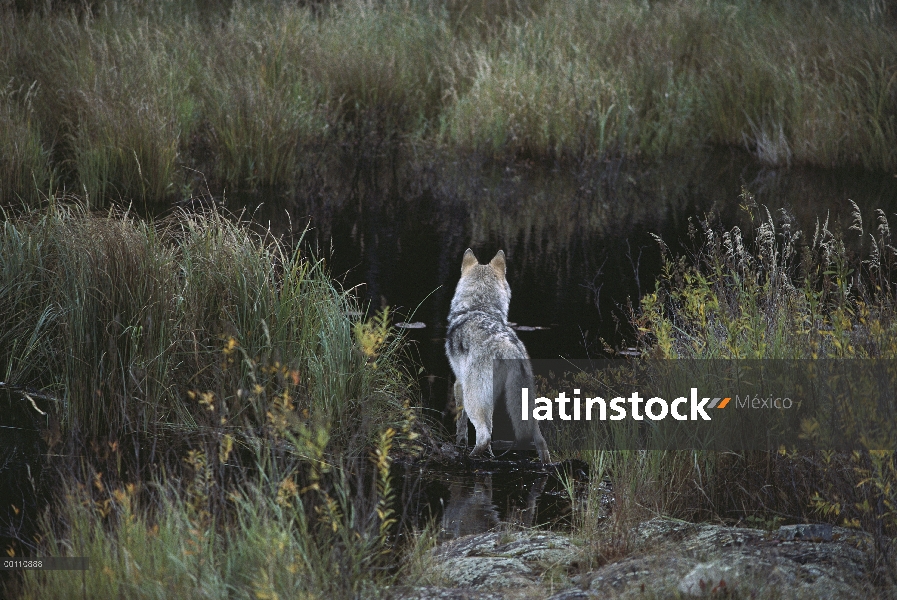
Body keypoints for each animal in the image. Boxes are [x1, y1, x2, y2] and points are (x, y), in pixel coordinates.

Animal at [444, 248, 548, 464]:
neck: (479, 307)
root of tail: (510, 346)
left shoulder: (458, 384)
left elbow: (461, 427)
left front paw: (459, 445)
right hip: (526, 406)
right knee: (541, 442)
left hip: (473, 399)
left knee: (483, 436)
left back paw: (471, 457)